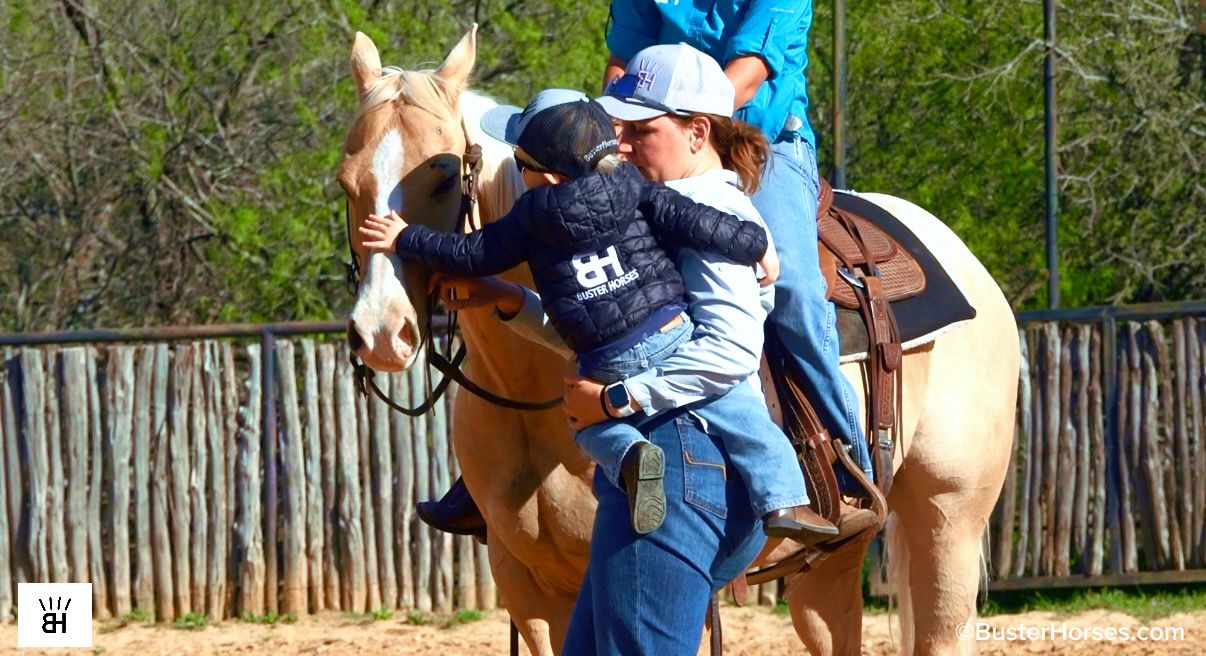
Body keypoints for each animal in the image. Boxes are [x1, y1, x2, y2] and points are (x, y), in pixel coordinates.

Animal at [339, 26, 1018, 656]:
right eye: (347, 182)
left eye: (443, 177)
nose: (381, 332)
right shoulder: (527, 586)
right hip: (833, 562)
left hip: (948, 520)